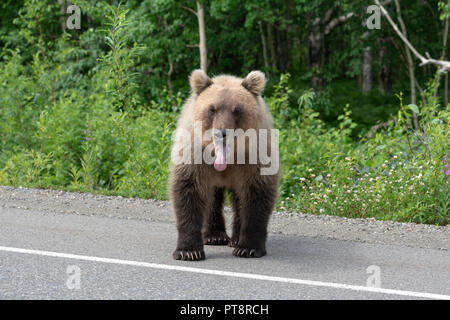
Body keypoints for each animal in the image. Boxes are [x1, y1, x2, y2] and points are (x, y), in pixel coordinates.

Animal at [171, 69, 280, 260]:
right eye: (212, 109)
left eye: (237, 110)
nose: (221, 132)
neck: (226, 158)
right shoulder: (195, 154)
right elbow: (189, 190)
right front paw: (188, 251)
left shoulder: (253, 157)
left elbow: (256, 194)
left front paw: (248, 248)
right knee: (212, 197)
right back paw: (214, 236)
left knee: (238, 199)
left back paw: (235, 239)